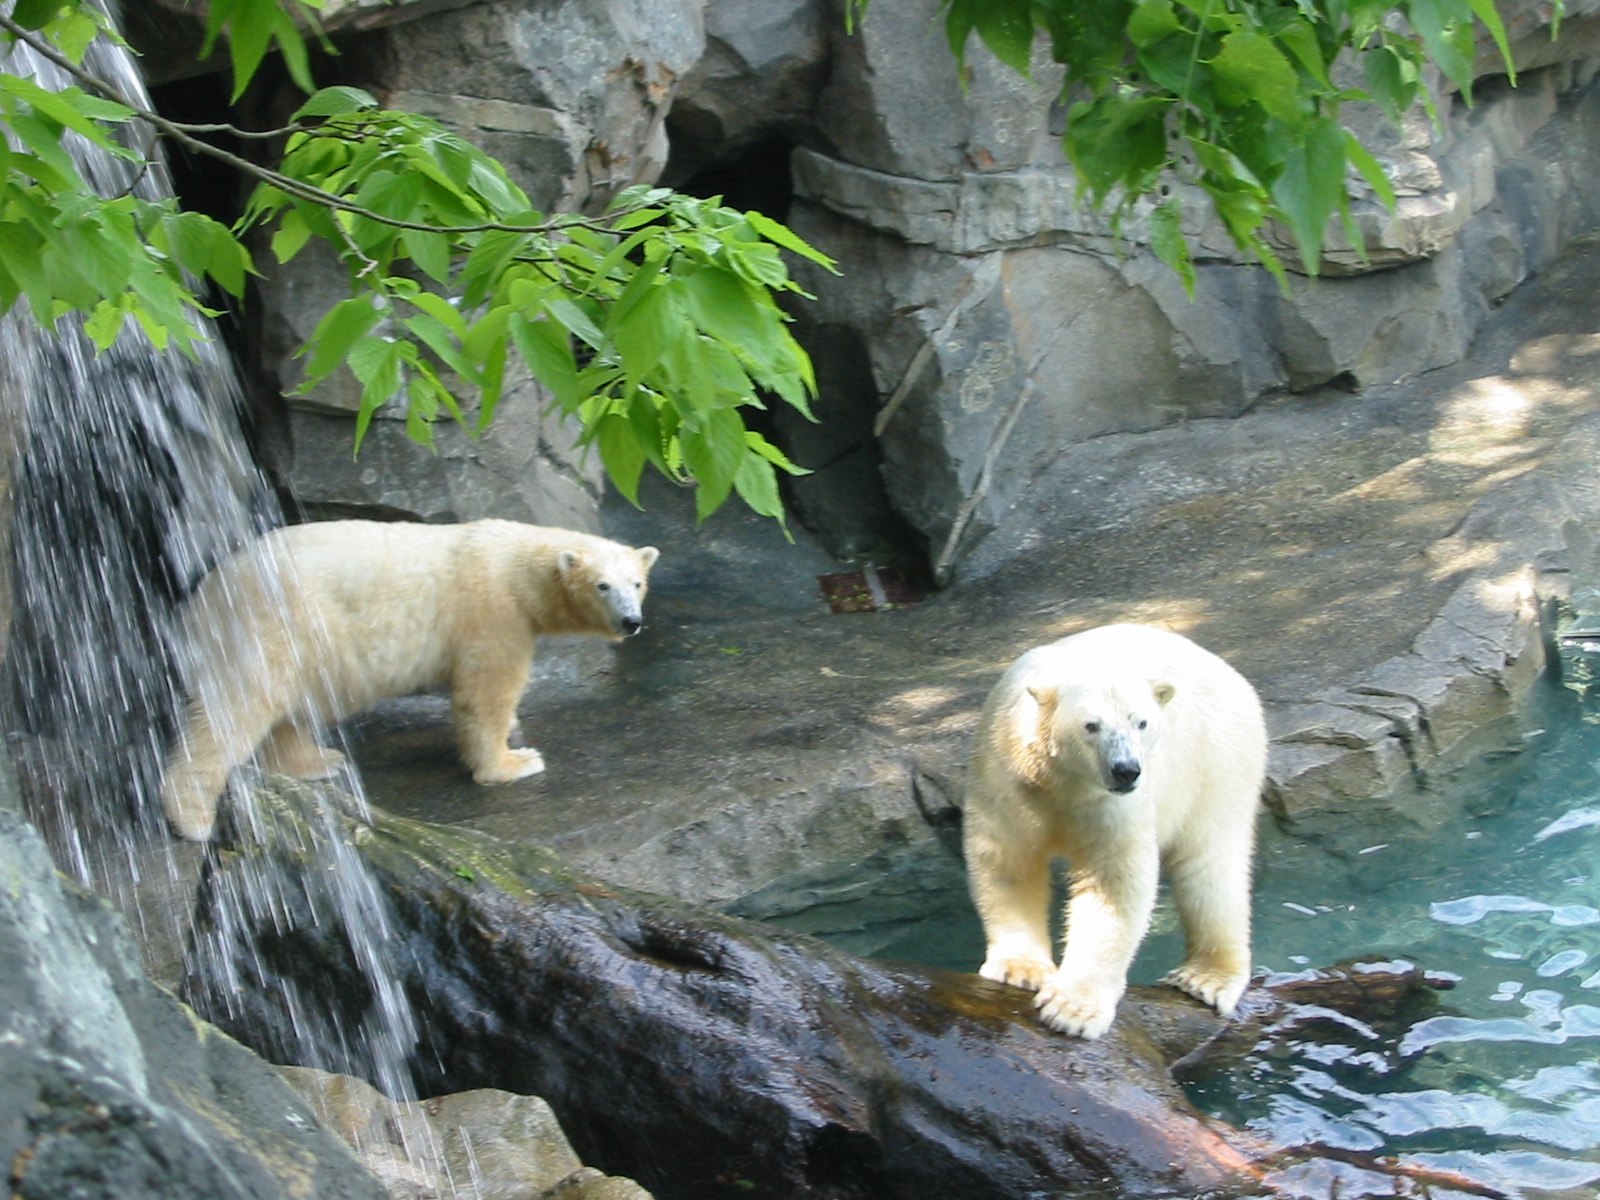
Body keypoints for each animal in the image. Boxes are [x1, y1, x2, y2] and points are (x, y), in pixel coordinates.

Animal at [159, 518, 659, 842]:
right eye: (602, 586)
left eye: (636, 583)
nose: (631, 622)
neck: (516, 566)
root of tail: (199, 602)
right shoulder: (492, 610)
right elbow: (486, 690)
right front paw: (513, 761)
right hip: (270, 624)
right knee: (237, 707)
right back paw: (192, 818)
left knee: (291, 708)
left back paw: (317, 760)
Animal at [962, 622, 1266, 1039]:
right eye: (1091, 726)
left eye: (1141, 722)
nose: (1126, 770)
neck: (1063, 783)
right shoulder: (1007, 775)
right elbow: (1008, 858)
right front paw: (1021, 970)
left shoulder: (1113, 805)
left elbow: (1113, 882)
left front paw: (1072, 1009)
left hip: (1217, 757)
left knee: (1210, 864)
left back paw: (1205, 977)